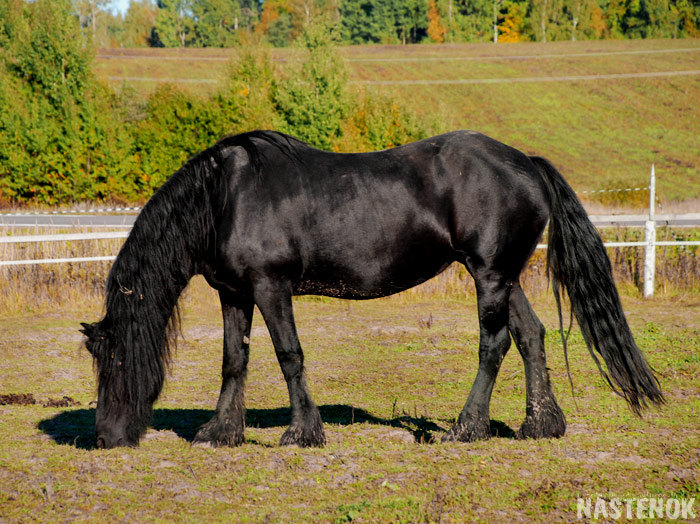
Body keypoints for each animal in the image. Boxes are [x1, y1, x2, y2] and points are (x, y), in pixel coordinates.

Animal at [79, 129, 664, 448]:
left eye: (114, 361)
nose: (104, 439)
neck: (224, 196)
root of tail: (528, 164)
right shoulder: (234, 293)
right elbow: (234, 359)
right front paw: (220, 432)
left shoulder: (271, 288)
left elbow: (289, 355)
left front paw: (303, 432)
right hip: (503, 275)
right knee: (531, 336)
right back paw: (540, 424)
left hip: (489, 275)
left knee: (494, 343)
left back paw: (466, 428)